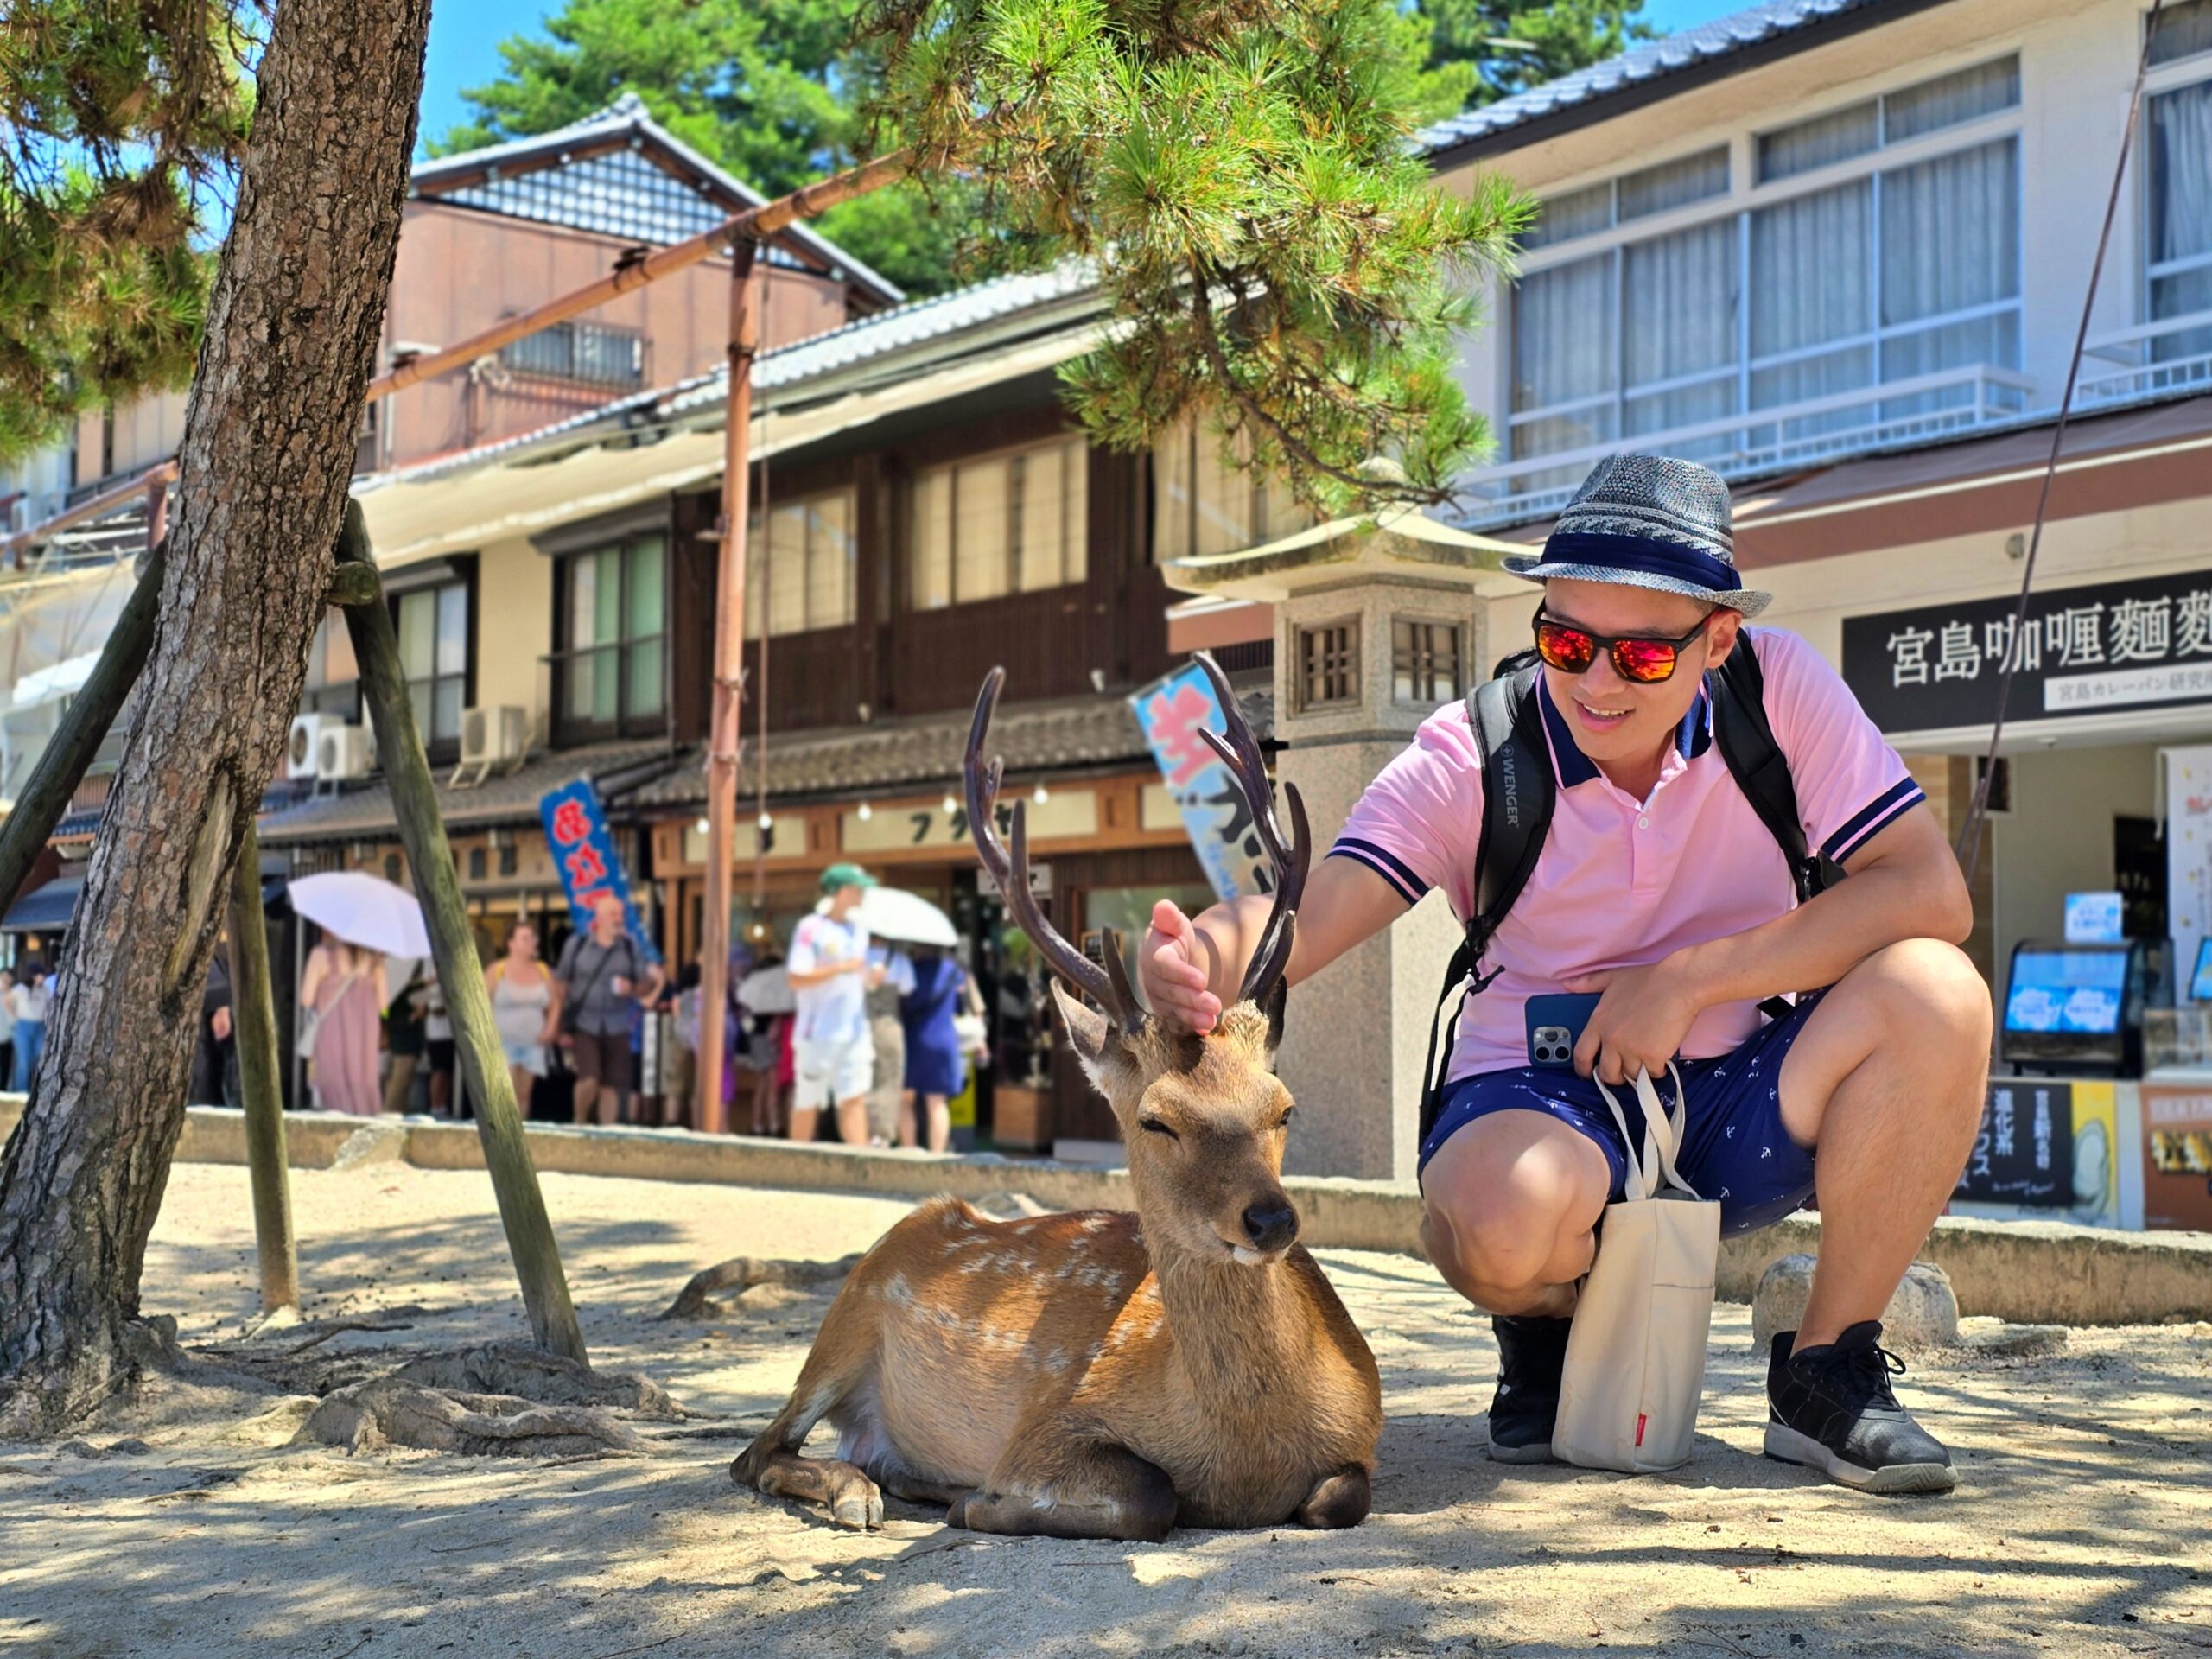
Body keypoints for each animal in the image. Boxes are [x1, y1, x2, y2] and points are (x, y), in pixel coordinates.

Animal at [729, 664, 1380, 1548]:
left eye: (1284, 1107)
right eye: (1155, 1119)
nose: (1271, 1220)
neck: (1243, 1462)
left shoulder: (1362, 1434)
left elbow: (1340, 1495)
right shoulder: (1047, 1426)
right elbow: (1150, 1495)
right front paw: (981, 1502)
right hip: (845, 1316)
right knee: (757, 1451)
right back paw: (862, 1494)